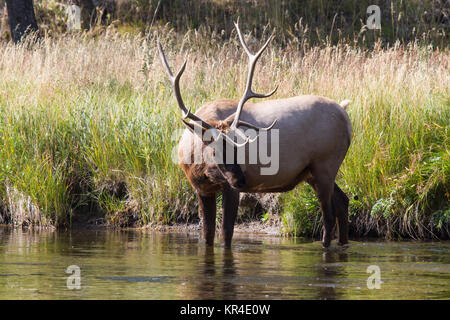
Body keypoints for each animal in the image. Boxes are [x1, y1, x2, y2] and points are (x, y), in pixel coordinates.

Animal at [157, 22, 352, 249]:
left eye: (237, 147)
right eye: (214, 152)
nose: (242, 180)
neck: (196, 164)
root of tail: (345, 115)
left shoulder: (229, 188)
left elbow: (226, 232)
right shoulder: (201, 189)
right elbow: (207, 234)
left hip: (325, 164)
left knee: (328, 216)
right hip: (313, 172)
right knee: (343, 201)